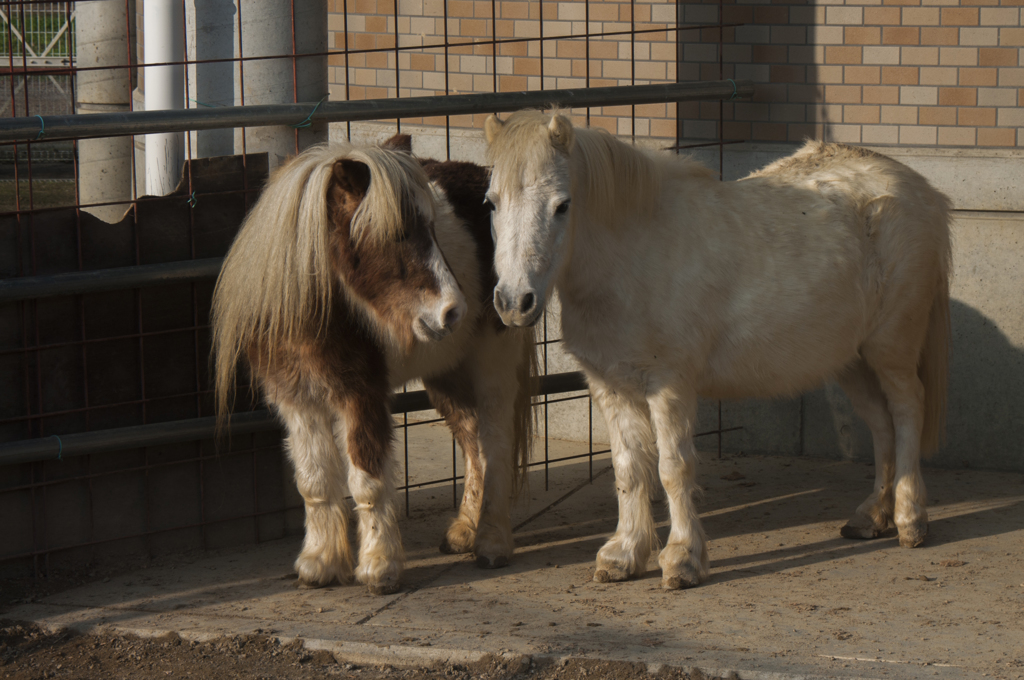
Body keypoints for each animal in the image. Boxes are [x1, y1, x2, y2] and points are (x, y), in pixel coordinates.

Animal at [210, 137, 532, 593]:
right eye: (396, 234)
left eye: (432, 229)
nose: (454, 312)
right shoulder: (296, 400)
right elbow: (313, 481)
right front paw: (320, 564)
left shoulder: (360, 396)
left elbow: (366, 481)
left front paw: (380, 568)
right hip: (445, 374)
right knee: (473, 445)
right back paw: (465, 531)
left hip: (492, 364)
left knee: (496, 443)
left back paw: (490, 543)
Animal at [483, 111, 946, 589]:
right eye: (492, 203)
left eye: (562, 205)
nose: (514, 303)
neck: (634, 255)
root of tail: (918, 188)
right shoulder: (612, 386)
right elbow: (629, 468)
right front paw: (624, 554)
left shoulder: (669, 384)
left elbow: (673, 468)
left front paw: (682, 559)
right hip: (852, 359)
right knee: (882, 424)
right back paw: (872, 516)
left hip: (890, 348)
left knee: (907, 410)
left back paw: (910, 519)